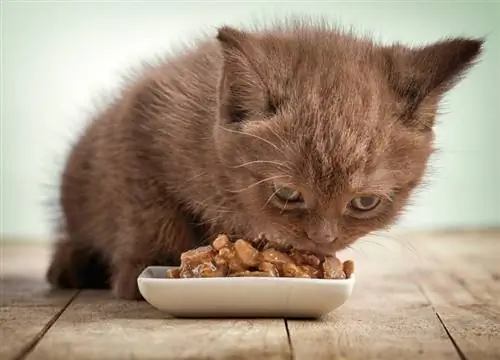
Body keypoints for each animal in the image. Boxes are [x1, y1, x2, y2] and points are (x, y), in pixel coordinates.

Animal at [47, 21, 484, 300]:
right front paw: (147, 266)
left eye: (365, 202)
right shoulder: (139, 124)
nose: (323, 239)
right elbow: (150, 214)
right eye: (288, 193)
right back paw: (71, 266)